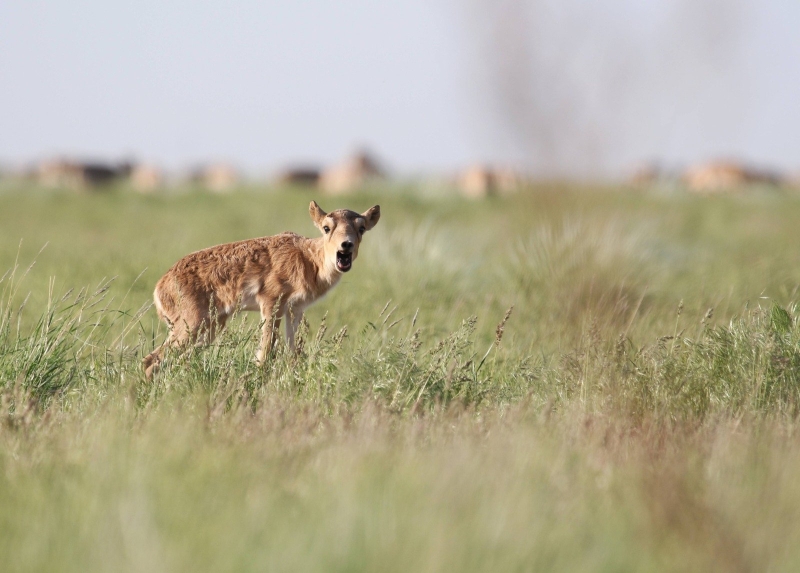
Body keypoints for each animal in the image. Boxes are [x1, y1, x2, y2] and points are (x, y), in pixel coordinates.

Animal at [144, 199, 382, 378]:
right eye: (326, 228)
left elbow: (293, 351)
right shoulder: (270, 303)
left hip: (211, 327)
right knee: (152, 359)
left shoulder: (295, 310)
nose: (346, 245)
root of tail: (160, 286)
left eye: (361, 228)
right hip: (191, 325)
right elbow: (266, 351)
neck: (309, 259)